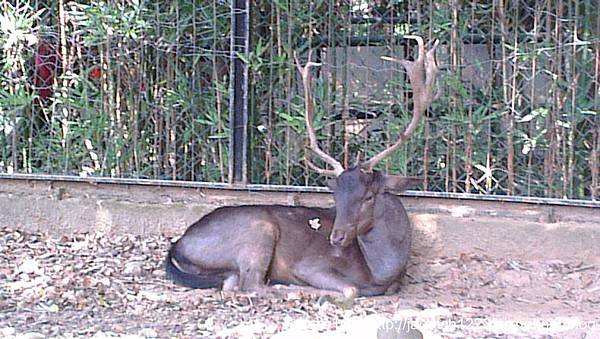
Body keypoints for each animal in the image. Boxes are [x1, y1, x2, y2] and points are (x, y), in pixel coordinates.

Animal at [165, 35, 440, 298]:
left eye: (368, 196)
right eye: (336, 196)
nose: (336, 238)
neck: (380, 271)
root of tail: (179, 244)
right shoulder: (309, 265)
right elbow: (350, 289)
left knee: (231, 284)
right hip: (258, 231)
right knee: (251, 284)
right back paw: (289, 290)